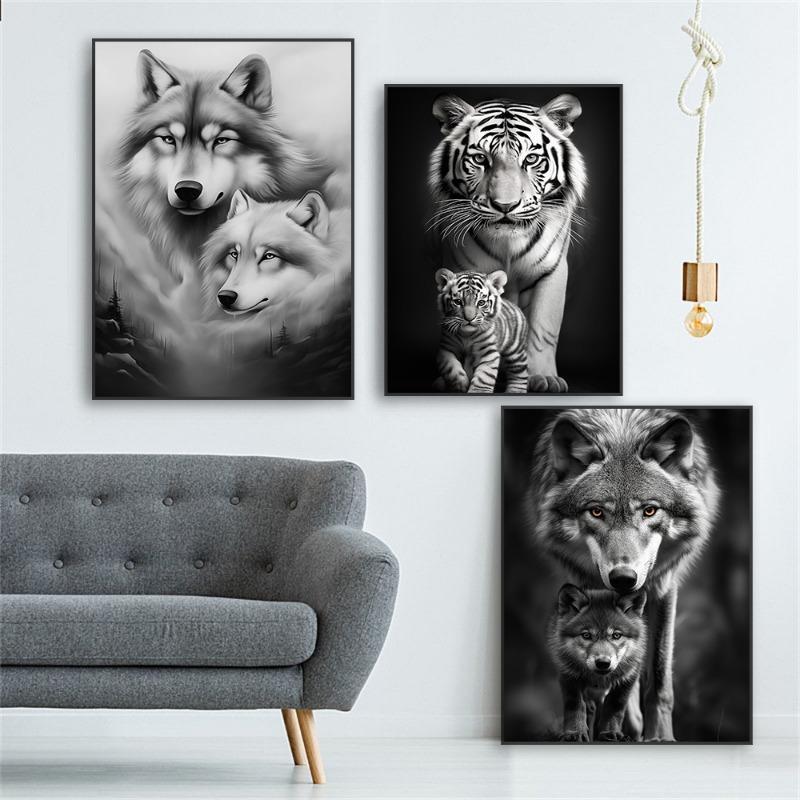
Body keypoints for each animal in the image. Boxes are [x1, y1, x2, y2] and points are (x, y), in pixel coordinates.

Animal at [428, 93, 587, 393]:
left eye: (532, 159)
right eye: (480, 158)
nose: (505, 206)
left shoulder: (552, 271)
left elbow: (543, 327)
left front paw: (544, 378)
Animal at [548, 584, 647, 742]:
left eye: (616, 635)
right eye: (586, 635)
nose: (603, 663)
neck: (598, 680)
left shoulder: (627, 678)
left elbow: (614, 708)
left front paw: (610, 732)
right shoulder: (568, 676)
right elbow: (575, 707)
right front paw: (574, 733)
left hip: (633, 716)